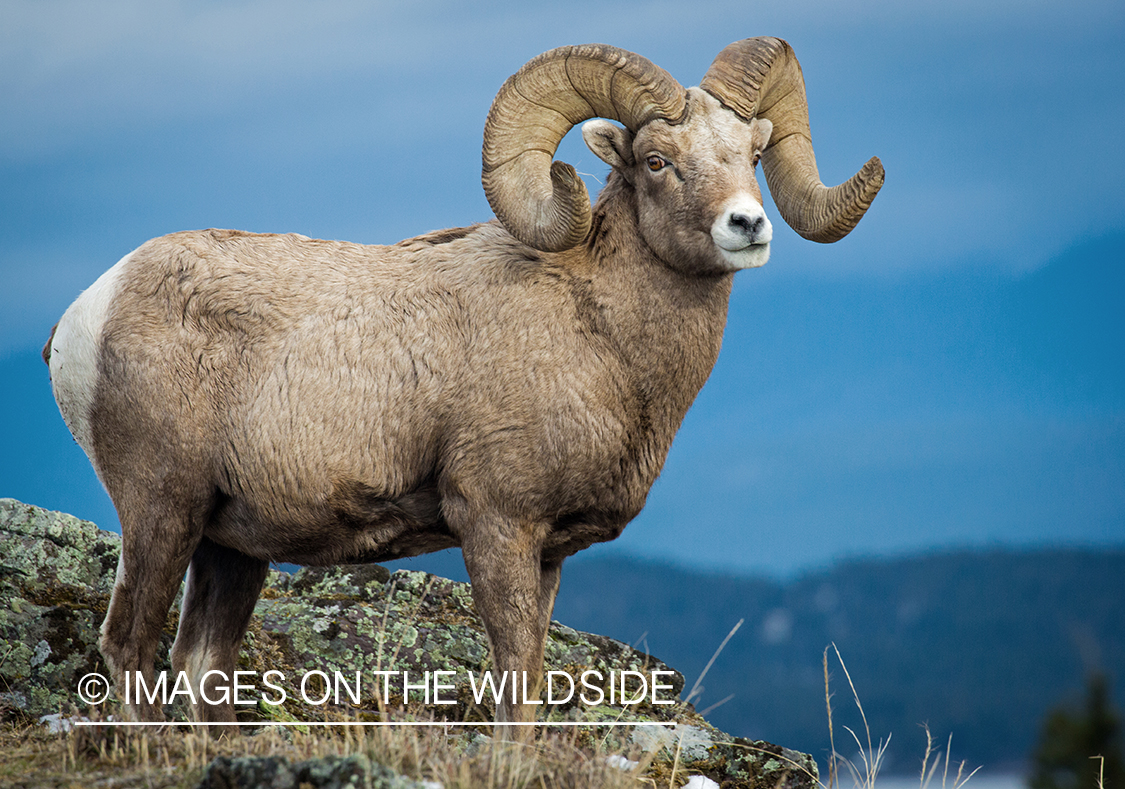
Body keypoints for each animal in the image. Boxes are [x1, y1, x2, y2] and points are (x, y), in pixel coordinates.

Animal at [44, 37, 883, 727]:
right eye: (655, 160)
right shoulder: (496, 523)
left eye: (751, 152)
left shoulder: (549, 553)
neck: (600, 335)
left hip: (230, 542)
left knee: (199, 666)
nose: (747, 226)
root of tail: (86, 312)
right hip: (162, 508)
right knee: (129, 646)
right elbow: (513, 680)